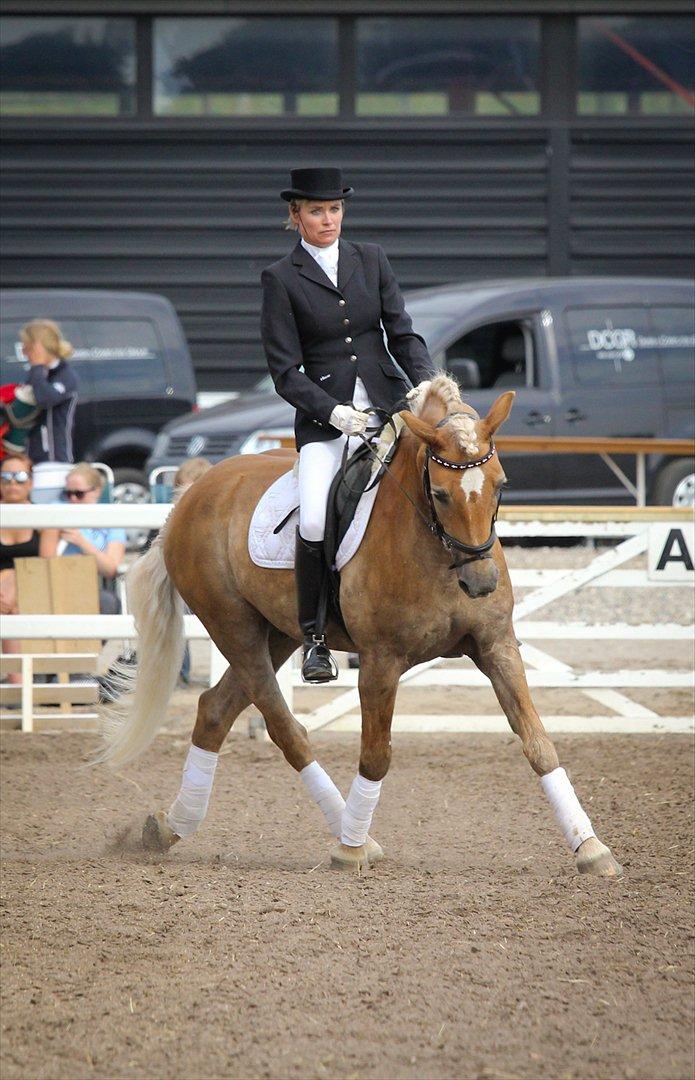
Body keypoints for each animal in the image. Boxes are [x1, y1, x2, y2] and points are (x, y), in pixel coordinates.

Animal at [96, 378, 617, 876]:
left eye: (501, 485)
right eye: (441, 494)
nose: (481, 583)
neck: (434, 550)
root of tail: (190, 497)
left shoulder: (496, 647)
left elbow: (539, 743)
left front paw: (591, 848)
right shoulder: (380, 663)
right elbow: (376, 754)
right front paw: (348, 851)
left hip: (279, 633)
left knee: (213, 710)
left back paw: (170, 826)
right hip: (234, 628)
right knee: (284, 728)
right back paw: (352, 836)